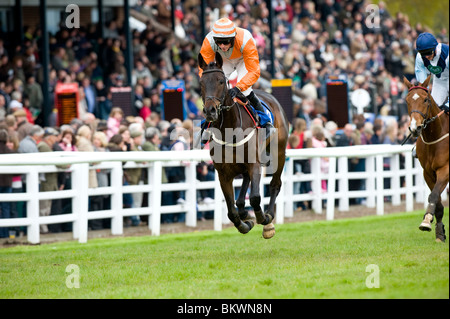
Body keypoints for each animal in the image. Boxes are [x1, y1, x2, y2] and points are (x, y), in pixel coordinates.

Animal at [198, 52, 288, 239]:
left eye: (221, 81)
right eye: (201, 83)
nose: (210, 111)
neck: (228, 129)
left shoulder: (255, 164)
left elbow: (255, 197)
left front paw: (262, 219)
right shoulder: (223, 174)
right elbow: (231, 211)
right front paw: (245, 224)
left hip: (279, 153)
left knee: (275, 184)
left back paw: (269, 215)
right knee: (243, 188)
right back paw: (244, 211)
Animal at [404, 75, 450, 242]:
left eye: (425, 99)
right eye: (407, 100)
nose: (415, 128)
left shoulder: (445, 169)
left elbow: (434, 195)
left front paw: (426, 220)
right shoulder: (428, 172)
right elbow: (438, 202)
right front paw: (439, 231)